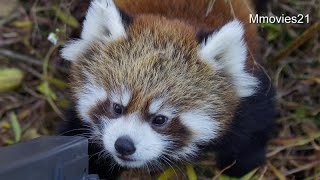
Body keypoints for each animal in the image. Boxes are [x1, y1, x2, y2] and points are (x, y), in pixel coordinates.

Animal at [60, 0, 276, 178]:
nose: (124, 145)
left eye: (160, 119)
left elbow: (254, 126)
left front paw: (241, 165)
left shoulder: (248, 94)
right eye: (117, 107)